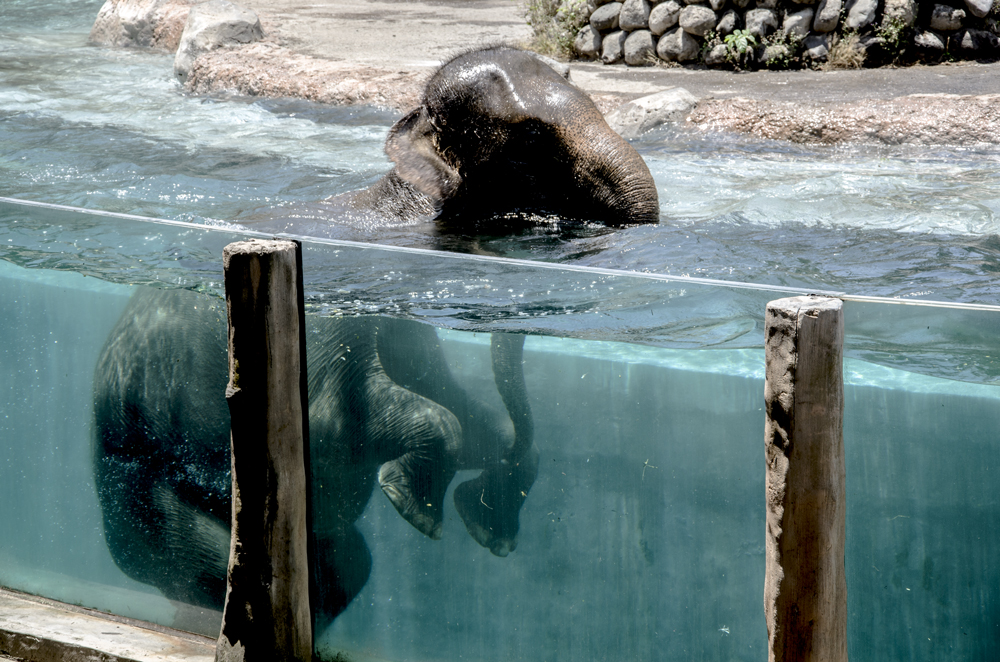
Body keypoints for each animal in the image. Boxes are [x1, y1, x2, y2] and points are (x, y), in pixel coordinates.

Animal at [91, 286, 536, 628]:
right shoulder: (327, 367)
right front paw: (424, 517)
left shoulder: (409, 345)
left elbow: (479, 426)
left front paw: (489, 533)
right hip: (141, 500)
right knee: (211, 566)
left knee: (354, 565)